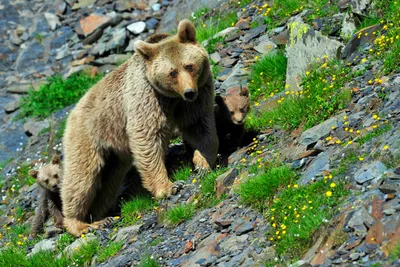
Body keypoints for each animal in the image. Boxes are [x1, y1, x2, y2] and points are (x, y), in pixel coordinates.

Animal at [61, 20, 219, 237]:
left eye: (190, 66)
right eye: (172, 72)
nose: (189, 92)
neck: (172, 98)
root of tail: (72, 112)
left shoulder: (196, 95)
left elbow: (199, 125)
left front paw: (202, 163)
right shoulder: (147, 97)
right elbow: (147, 137)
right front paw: (170, 187)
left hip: (114, 157)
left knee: (108, 182)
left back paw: (100, 216)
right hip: (87, 135)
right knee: (81, 177)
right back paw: (81, 223)